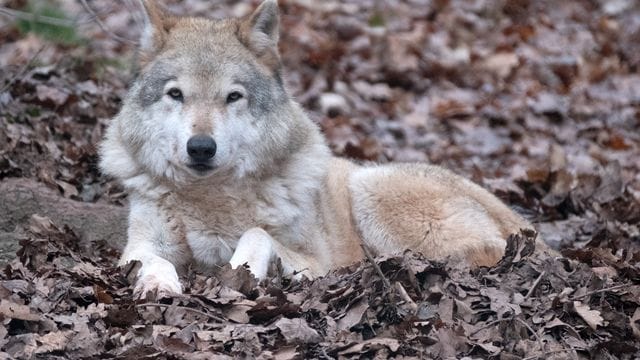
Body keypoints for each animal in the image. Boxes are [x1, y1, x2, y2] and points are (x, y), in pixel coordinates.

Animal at [100, 0, 540, 298]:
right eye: (176, 94)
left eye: (233, 96)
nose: (202, 148)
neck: (211, 198)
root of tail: (518, 220)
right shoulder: (141, 245)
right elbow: (152, 259)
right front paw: (158, 284)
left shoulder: (314, 262)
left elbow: (257, 234)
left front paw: (242, 271)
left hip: (369, 187)